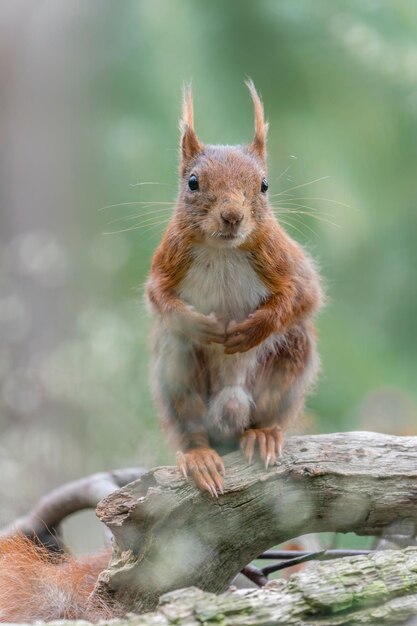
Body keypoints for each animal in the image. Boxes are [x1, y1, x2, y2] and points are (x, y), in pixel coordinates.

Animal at [146, 80, 322, 494]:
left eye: (264, 185)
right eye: (193, 182)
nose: (232, 216)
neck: (222, 250)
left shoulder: (280, 256)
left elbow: (306, 296)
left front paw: (254, 329)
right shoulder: (168, 258)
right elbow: (158, 297)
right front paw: (199, 324)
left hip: (288, 365)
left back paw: (263, 435)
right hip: (177, 375)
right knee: (190, 424)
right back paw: (199, 456)